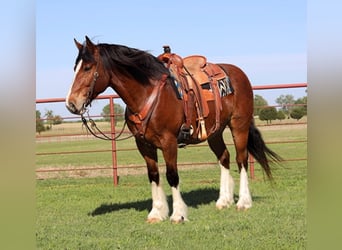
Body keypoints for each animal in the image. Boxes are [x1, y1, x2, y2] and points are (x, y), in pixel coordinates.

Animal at [65, 35, 280, 223]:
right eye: (75, 68)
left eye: (87, 67)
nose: (71, 103)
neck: (148, 94)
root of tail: (238, 73)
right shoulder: (144, 145)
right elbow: (154, 175)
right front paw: (156, 213)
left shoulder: (169, 142)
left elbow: (172, 175)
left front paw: (178, 215)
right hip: (215, 132)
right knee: (224, 158)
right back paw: (223, 200)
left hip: (239, 125)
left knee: (241, 159)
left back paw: (243, 202)